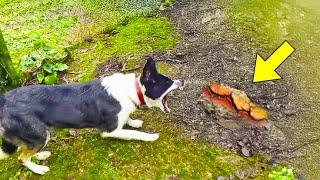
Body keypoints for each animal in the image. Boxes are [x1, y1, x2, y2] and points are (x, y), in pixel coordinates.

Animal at [0, 57, 184, 174]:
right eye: (167, 82)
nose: (182, 81)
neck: (132, 90)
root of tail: (4, 100)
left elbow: (129, 122)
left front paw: (133, 121)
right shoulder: (110, 131)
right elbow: (133, 134)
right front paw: (150, 136)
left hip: (37, 135)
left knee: (25, 150)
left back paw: (40, 155)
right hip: (38, 133)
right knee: (22, 157)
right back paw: (39, 169)